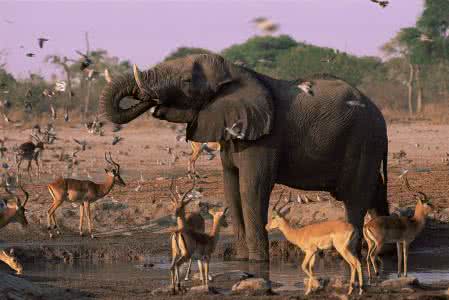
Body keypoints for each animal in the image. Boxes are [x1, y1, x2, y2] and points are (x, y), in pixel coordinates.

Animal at [100, 54, 386, 262]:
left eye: (186, 81)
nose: (154, 102)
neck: (234, 71)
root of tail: (379, 113)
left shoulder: (264, 139)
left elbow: (251, 188)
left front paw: (259, 264)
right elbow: (231, 188)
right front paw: (242, 262)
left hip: (363, 142)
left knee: (355, 199)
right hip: (371, 145)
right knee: (376, 196)